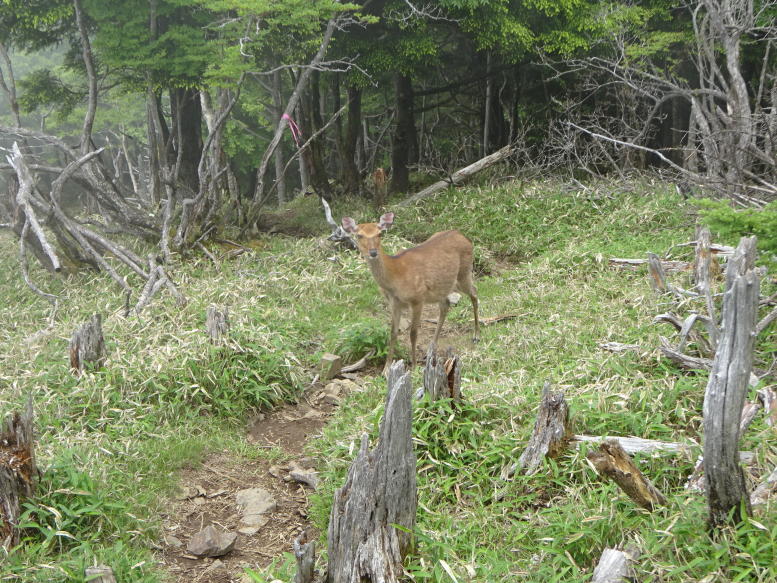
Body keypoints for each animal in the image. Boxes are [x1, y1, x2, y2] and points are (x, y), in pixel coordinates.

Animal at [342, 213, 478, 374]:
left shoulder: (418, 298)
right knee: (446, 305)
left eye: (380, 233)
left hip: (464, 273)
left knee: (474, 293)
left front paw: (413, 366)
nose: (373, 252)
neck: (395, 278)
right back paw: (432, 346)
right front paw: (386, 369)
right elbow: (393, 332)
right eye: (359, 235)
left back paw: (476, 335)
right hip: (442, 287)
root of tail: (464, 237)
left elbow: (413, 333)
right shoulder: (394, 302)